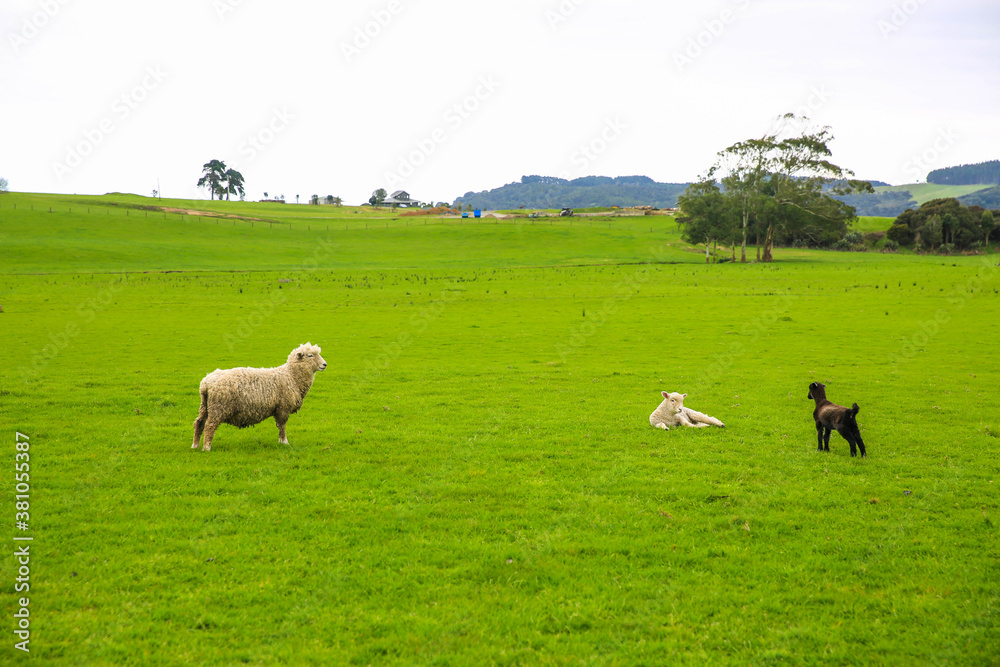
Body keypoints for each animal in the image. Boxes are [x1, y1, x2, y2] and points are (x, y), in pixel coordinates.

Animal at [190, 342, 324, 452]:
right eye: (310, 355)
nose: (325, 364)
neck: (291, 376)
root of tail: (206, 383)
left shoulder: (278, 408)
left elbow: (280, 426)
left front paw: (281, 441)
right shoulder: (283, 407)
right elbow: (282, 426)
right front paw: (284, 442)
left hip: (205, 405)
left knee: (199, 423)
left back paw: (195, 445)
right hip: (219, 407)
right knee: (209, 425)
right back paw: (206, 447)